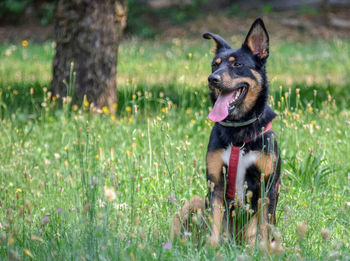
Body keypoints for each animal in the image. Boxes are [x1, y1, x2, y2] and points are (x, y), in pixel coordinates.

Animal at [172, 18, 282, 248]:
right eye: (215, 64)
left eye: (237, 64)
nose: (212, 78)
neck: (239, 131)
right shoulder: (215, 183)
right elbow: (214, 228)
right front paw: (212, 250)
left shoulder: (267, 187)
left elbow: (263, 229)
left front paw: (264, 251)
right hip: (195, 201)